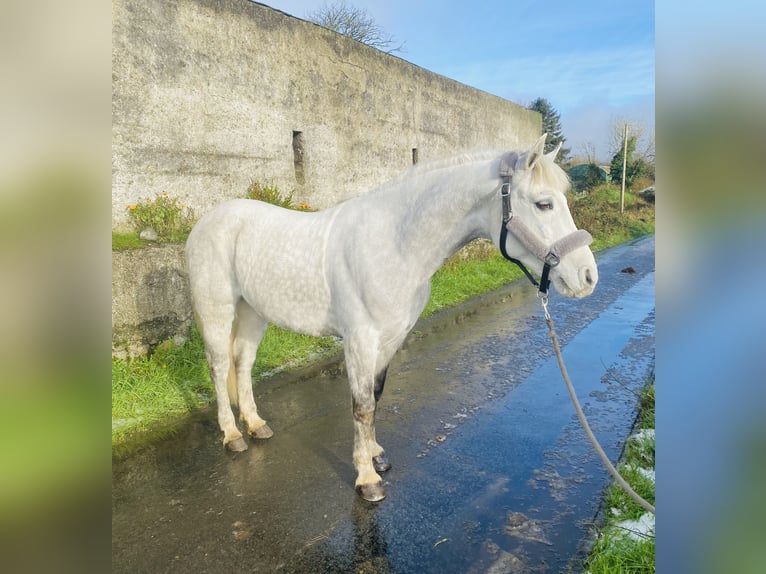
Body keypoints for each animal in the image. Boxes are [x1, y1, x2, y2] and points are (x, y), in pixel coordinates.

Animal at [188, 136, 600, 504]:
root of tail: (206, 221)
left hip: (253, 312)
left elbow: (376, 397)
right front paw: (367, 480)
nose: (587, 277)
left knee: (242, 363)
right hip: (218, 310)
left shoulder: (389, 339)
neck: (396, 243)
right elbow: (361, 406)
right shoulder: (359, 340)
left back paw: (256, 425)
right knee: (220, 365)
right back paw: (232, 435)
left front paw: (376, 456)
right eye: (543, 204)